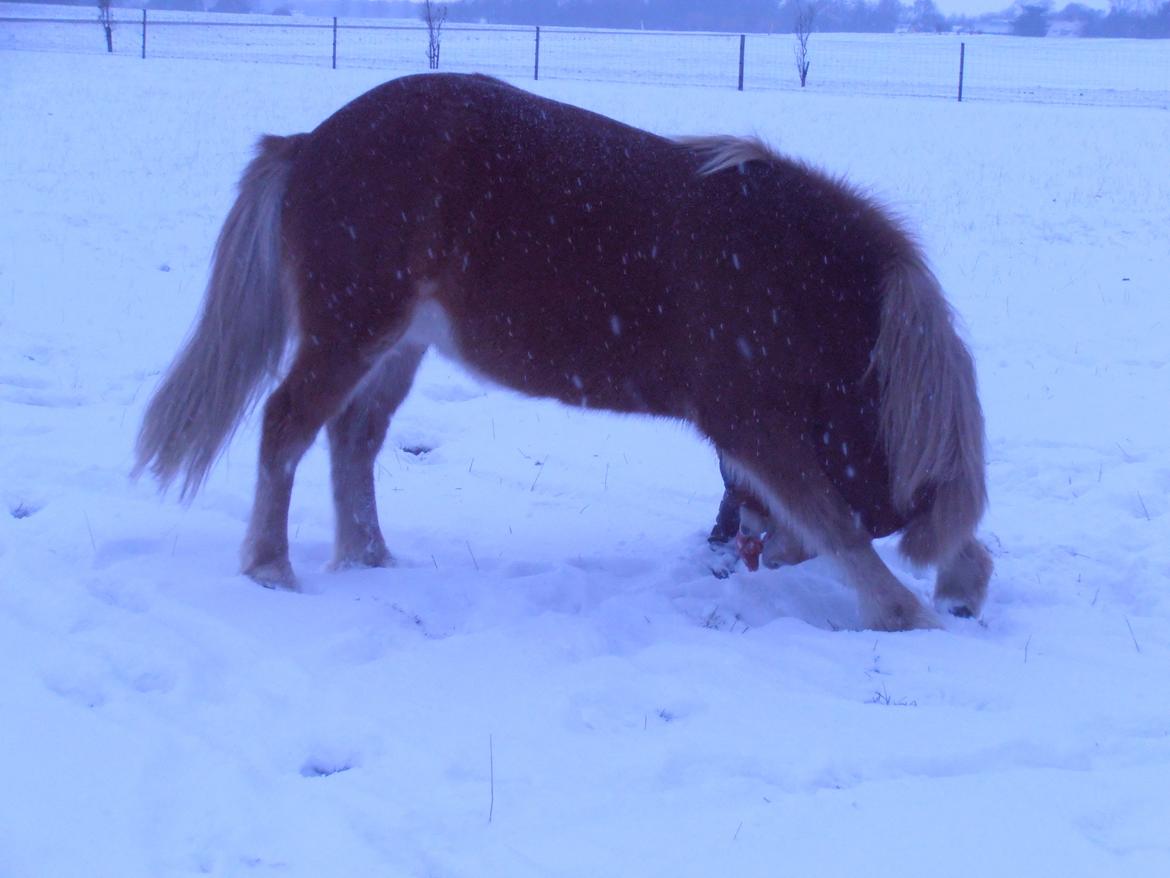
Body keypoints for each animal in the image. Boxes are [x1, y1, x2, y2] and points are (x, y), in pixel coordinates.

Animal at [136, 72, 996, 627]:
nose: (737, 553)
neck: (793, 274)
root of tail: (310, 142)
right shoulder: (754, 427)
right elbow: (836, 525)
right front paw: (908, 609)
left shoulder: (759, 439)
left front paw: (965, 578)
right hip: (348, 332)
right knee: (287, 425)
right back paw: (271, 570)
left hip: (398, 344)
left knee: (354, 438)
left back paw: (369, 560)